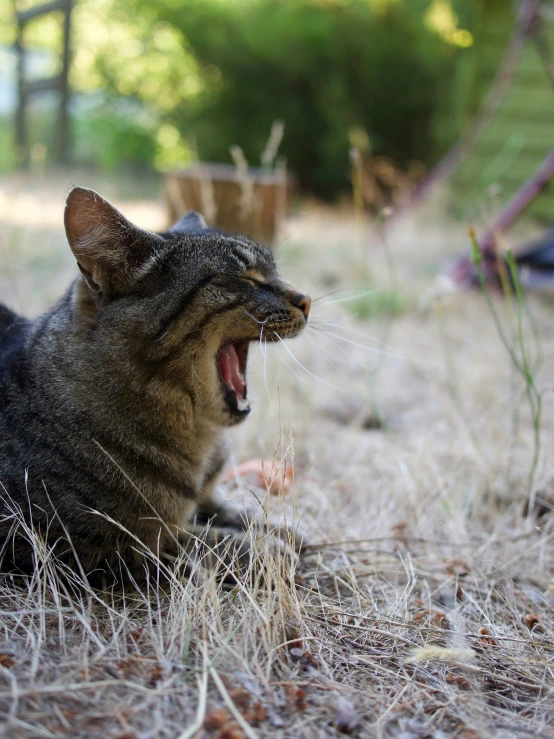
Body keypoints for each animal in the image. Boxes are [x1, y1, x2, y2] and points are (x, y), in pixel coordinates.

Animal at [0, 189, 310, 584]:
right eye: (246, 277)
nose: (308, 300)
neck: (198, 438)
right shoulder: (106, 548)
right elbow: (200, 540)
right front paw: (265, 548)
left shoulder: (205, 498)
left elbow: (229, 510)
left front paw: (278, 528)